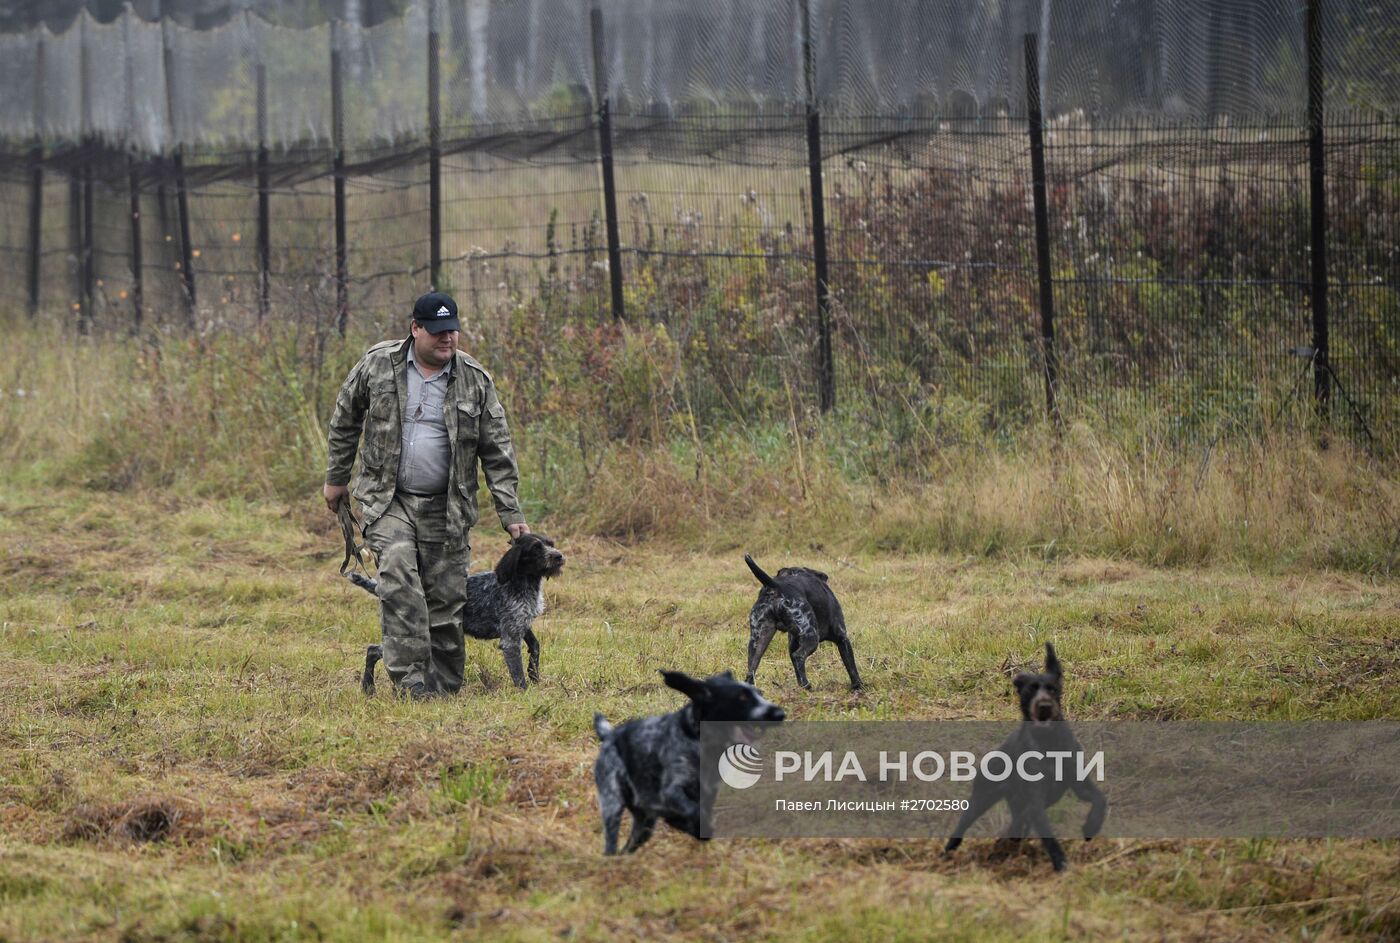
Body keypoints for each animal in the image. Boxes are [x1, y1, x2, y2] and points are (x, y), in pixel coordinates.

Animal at [350, 528, 562, 691]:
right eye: (535, 548)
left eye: (551, 543)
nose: (559, 556)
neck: (523, 584)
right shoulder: (510, 638)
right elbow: (517, 674)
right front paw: (525, 691)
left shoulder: (521, 625)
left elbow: (535, 646)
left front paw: (534, 675)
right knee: (375, 650)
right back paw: (368, 687)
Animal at [593, 668, 789, 850]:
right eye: (742, 698)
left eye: (760, 694)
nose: (779, 714)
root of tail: (609, 735)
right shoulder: (672, 791)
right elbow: (692, 811)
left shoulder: (708, 792)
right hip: (613, 805)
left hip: (643, 827)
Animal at [744, 551, 862, 691]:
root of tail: (775, 586)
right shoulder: (842, 638)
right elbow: (851, 667)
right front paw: (858, 686)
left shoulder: (793, 643)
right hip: (811, 637)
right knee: (799, 657)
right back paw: (807, 685)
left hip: (758, 641)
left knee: (751, 670)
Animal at [946, 643, 1108, 873]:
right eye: (1030, 689)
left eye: (1053, 688)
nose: (1044, 705)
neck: (1049, 744)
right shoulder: (1036, 800)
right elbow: (1048, 835)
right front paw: (1060, 862)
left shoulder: (1079, 784)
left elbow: (1100, 799)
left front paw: (1091, 825)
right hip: (982, 798)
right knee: (964, 824)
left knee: (1017, 824)